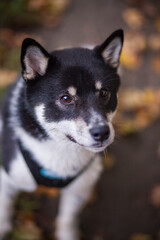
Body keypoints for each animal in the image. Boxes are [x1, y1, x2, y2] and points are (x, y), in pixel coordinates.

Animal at [0, 29, 124, 239]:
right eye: (65, 98)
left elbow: (68, 219)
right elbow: (5, 208)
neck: (60, 148)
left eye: (104, 92)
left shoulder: (79, 189)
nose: (102, 132)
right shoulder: (7, 179)